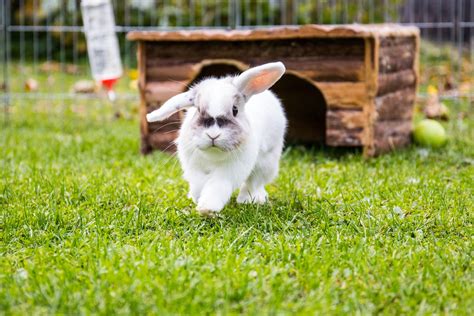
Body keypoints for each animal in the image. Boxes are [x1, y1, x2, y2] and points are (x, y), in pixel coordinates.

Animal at [147, 61, 288, 215]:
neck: (213, 155)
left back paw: (251, 200)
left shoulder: (229, 171)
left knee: (254, 182)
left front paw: (207, 208)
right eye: (198, 109)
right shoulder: (194, 167)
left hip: (267, 161)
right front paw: (197, 198)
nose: (213, 135)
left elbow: (217, 187)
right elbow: (199, 184)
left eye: (235, 110)